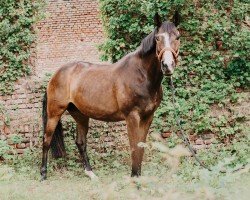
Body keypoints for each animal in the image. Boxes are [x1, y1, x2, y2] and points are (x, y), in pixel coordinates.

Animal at [41, 13, 180, 180]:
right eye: (158, 38)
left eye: (178, 37)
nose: (167, 65)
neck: (141, 75)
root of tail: (55, 75)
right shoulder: (132, 117)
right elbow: (134, 147)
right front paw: (134, 177)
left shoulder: (148, 117)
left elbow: (141, 147)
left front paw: (138, 177)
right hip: (54, 113)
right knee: (46, 140)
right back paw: (43, 174)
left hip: (80, 115)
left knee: (80, 142)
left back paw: (91, 173)